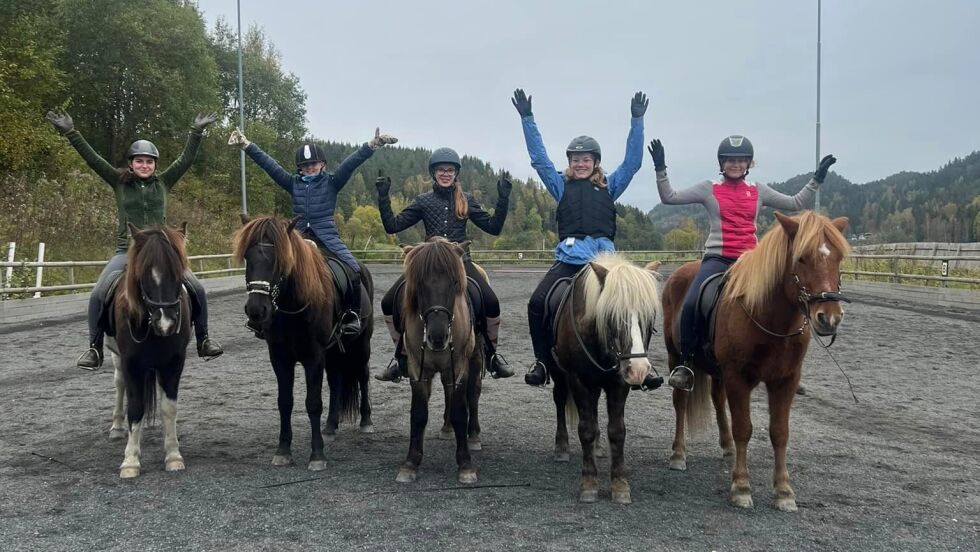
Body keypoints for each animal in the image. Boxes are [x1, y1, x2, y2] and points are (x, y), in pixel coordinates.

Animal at [106, 223, 192, 478]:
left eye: (179, 273)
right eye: (143, 275)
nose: (167, 323)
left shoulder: (174, 362)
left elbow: (168, 408)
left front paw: (173, 455)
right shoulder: (132, 363)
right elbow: (136, 408)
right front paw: (130, 460)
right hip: (117, 358)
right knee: (120, 384)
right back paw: (117, 426)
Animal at [234, 215, 376, 470]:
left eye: (279, 259)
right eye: (248, 257)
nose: (256, 310)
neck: (292, 305)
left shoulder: (314, 357)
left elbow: (313, 403)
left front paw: (317, 454)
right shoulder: (280, 358)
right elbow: (285, 402)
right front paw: (283, 450)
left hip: (361, 346)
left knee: (363, 375)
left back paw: (366, 421)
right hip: (333, 352)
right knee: (336, 381)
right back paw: (330, 426)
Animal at [392, 237, 480, 484]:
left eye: (454, 282)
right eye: (419, 284)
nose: (438, 336)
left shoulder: (458, 367)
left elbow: (461, 412)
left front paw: (465, 464)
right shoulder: (417, 369)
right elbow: (418, 414)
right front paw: (410, 463)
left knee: (473, 395)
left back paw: (473, 436)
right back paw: (447, 428)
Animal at [548, 252, 664, 502]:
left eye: (649, 316)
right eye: (612, 315)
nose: (639, 369)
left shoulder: (619, 382)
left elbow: (617, 431)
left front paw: (620, 484)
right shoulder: (577, 380)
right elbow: (585, 429)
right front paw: (589, 483)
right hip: (559, 373)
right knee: (560, 399)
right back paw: (561, 447)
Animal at [668, 209, 848, 512]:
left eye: (838, 258)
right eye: (802, 258)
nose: (829, 317)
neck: (770, 317)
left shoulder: (785, 381)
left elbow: (780, 432)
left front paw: (784, 491)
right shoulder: (738, 377)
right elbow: (744, 428)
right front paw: (741, 487)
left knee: (717, 399)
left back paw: (727, 448)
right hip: (676, 359)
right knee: (680, 402)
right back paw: (679, 454)